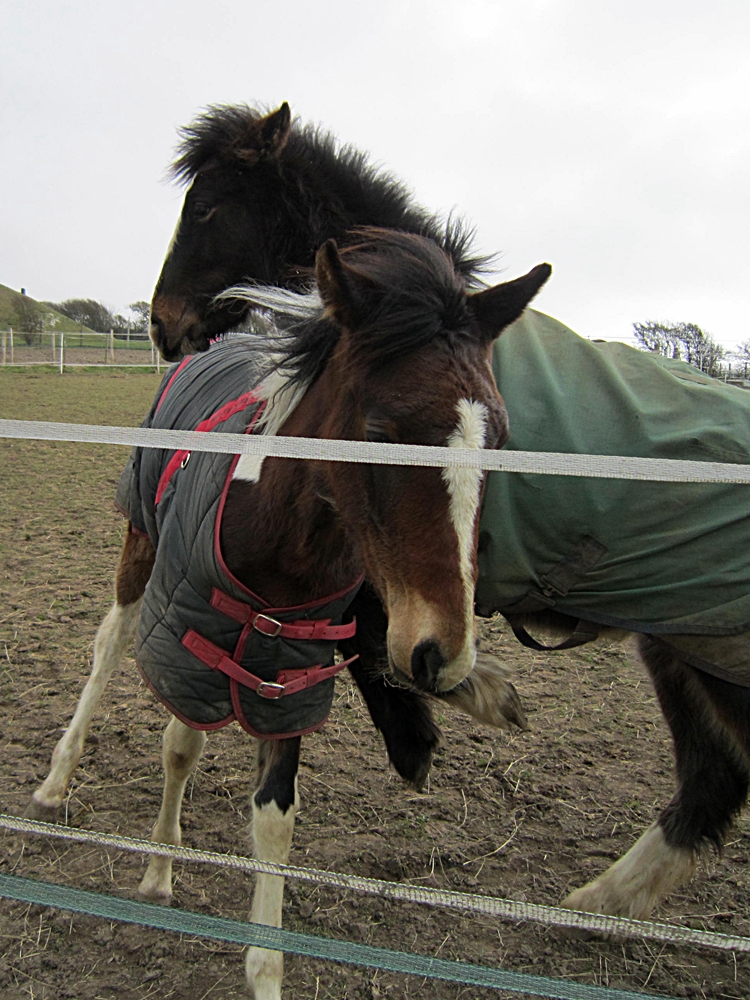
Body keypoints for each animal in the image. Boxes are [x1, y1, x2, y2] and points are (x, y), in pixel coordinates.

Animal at [59, 229, 549, 999]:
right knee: (110, 645)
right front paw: (160, 869)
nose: (443, 653)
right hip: (141, 539)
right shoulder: (185, 634)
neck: (279, 538)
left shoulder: (287, 674)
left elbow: (273, 813)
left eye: (498, 439)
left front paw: (262, 967)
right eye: (380, 431)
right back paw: (55, 781)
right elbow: (178, 744)